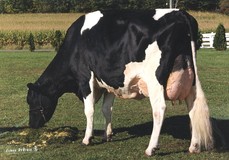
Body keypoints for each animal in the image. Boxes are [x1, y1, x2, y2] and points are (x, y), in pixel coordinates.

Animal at [27, 9, 214, 156]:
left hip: (155, 79)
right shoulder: (110, 81)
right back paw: (194, 146)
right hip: (190, 77)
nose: (31, 125)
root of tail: (181, 13)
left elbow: (89, 110)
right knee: (192, 106)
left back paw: (151, 148)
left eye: (30, 101)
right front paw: (107, 135)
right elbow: (106, 109)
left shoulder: (85, 78)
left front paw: (87, 138)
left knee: (159, 109)